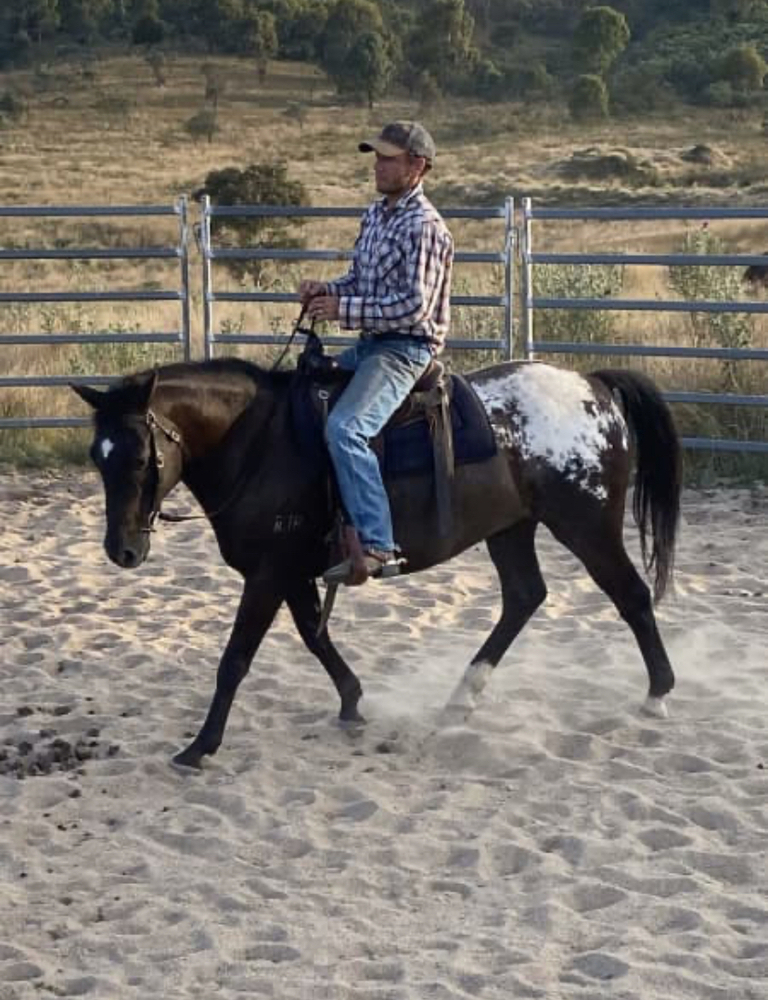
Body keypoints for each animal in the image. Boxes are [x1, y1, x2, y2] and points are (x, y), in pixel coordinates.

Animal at [72, 355, 682, 770]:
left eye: (143, 456)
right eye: (97, 458)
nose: (122, 551)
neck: (260, 444)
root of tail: (594, 386)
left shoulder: (268, 575)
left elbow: (235, 659)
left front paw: (200, 746)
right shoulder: (292, 572)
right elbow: (315, 636)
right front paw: (352, 703)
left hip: (587, 525)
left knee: (630, 595)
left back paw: (657, 695)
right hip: (511, 528)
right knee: (524, 597)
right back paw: (460, 700)